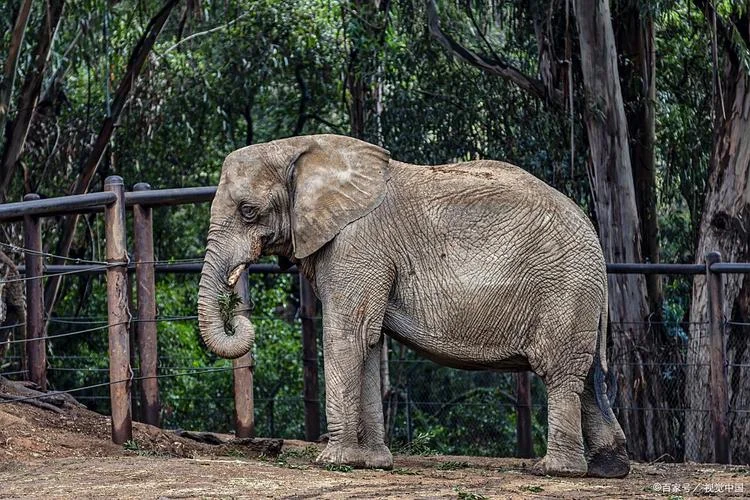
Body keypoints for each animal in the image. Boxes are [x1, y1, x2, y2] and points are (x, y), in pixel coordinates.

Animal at [197, 134, 630, 478]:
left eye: (248, 211)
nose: (239, 314)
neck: (301, 148)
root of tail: (596, 242)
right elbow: (369, 342)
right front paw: (373, 463)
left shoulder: (357, 244)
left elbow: (347, 336)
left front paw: (334, 462)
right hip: (578, 296)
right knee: (587, 377)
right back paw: (608, 470)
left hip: (565, 289)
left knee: (559, 372)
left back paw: (553, 471)